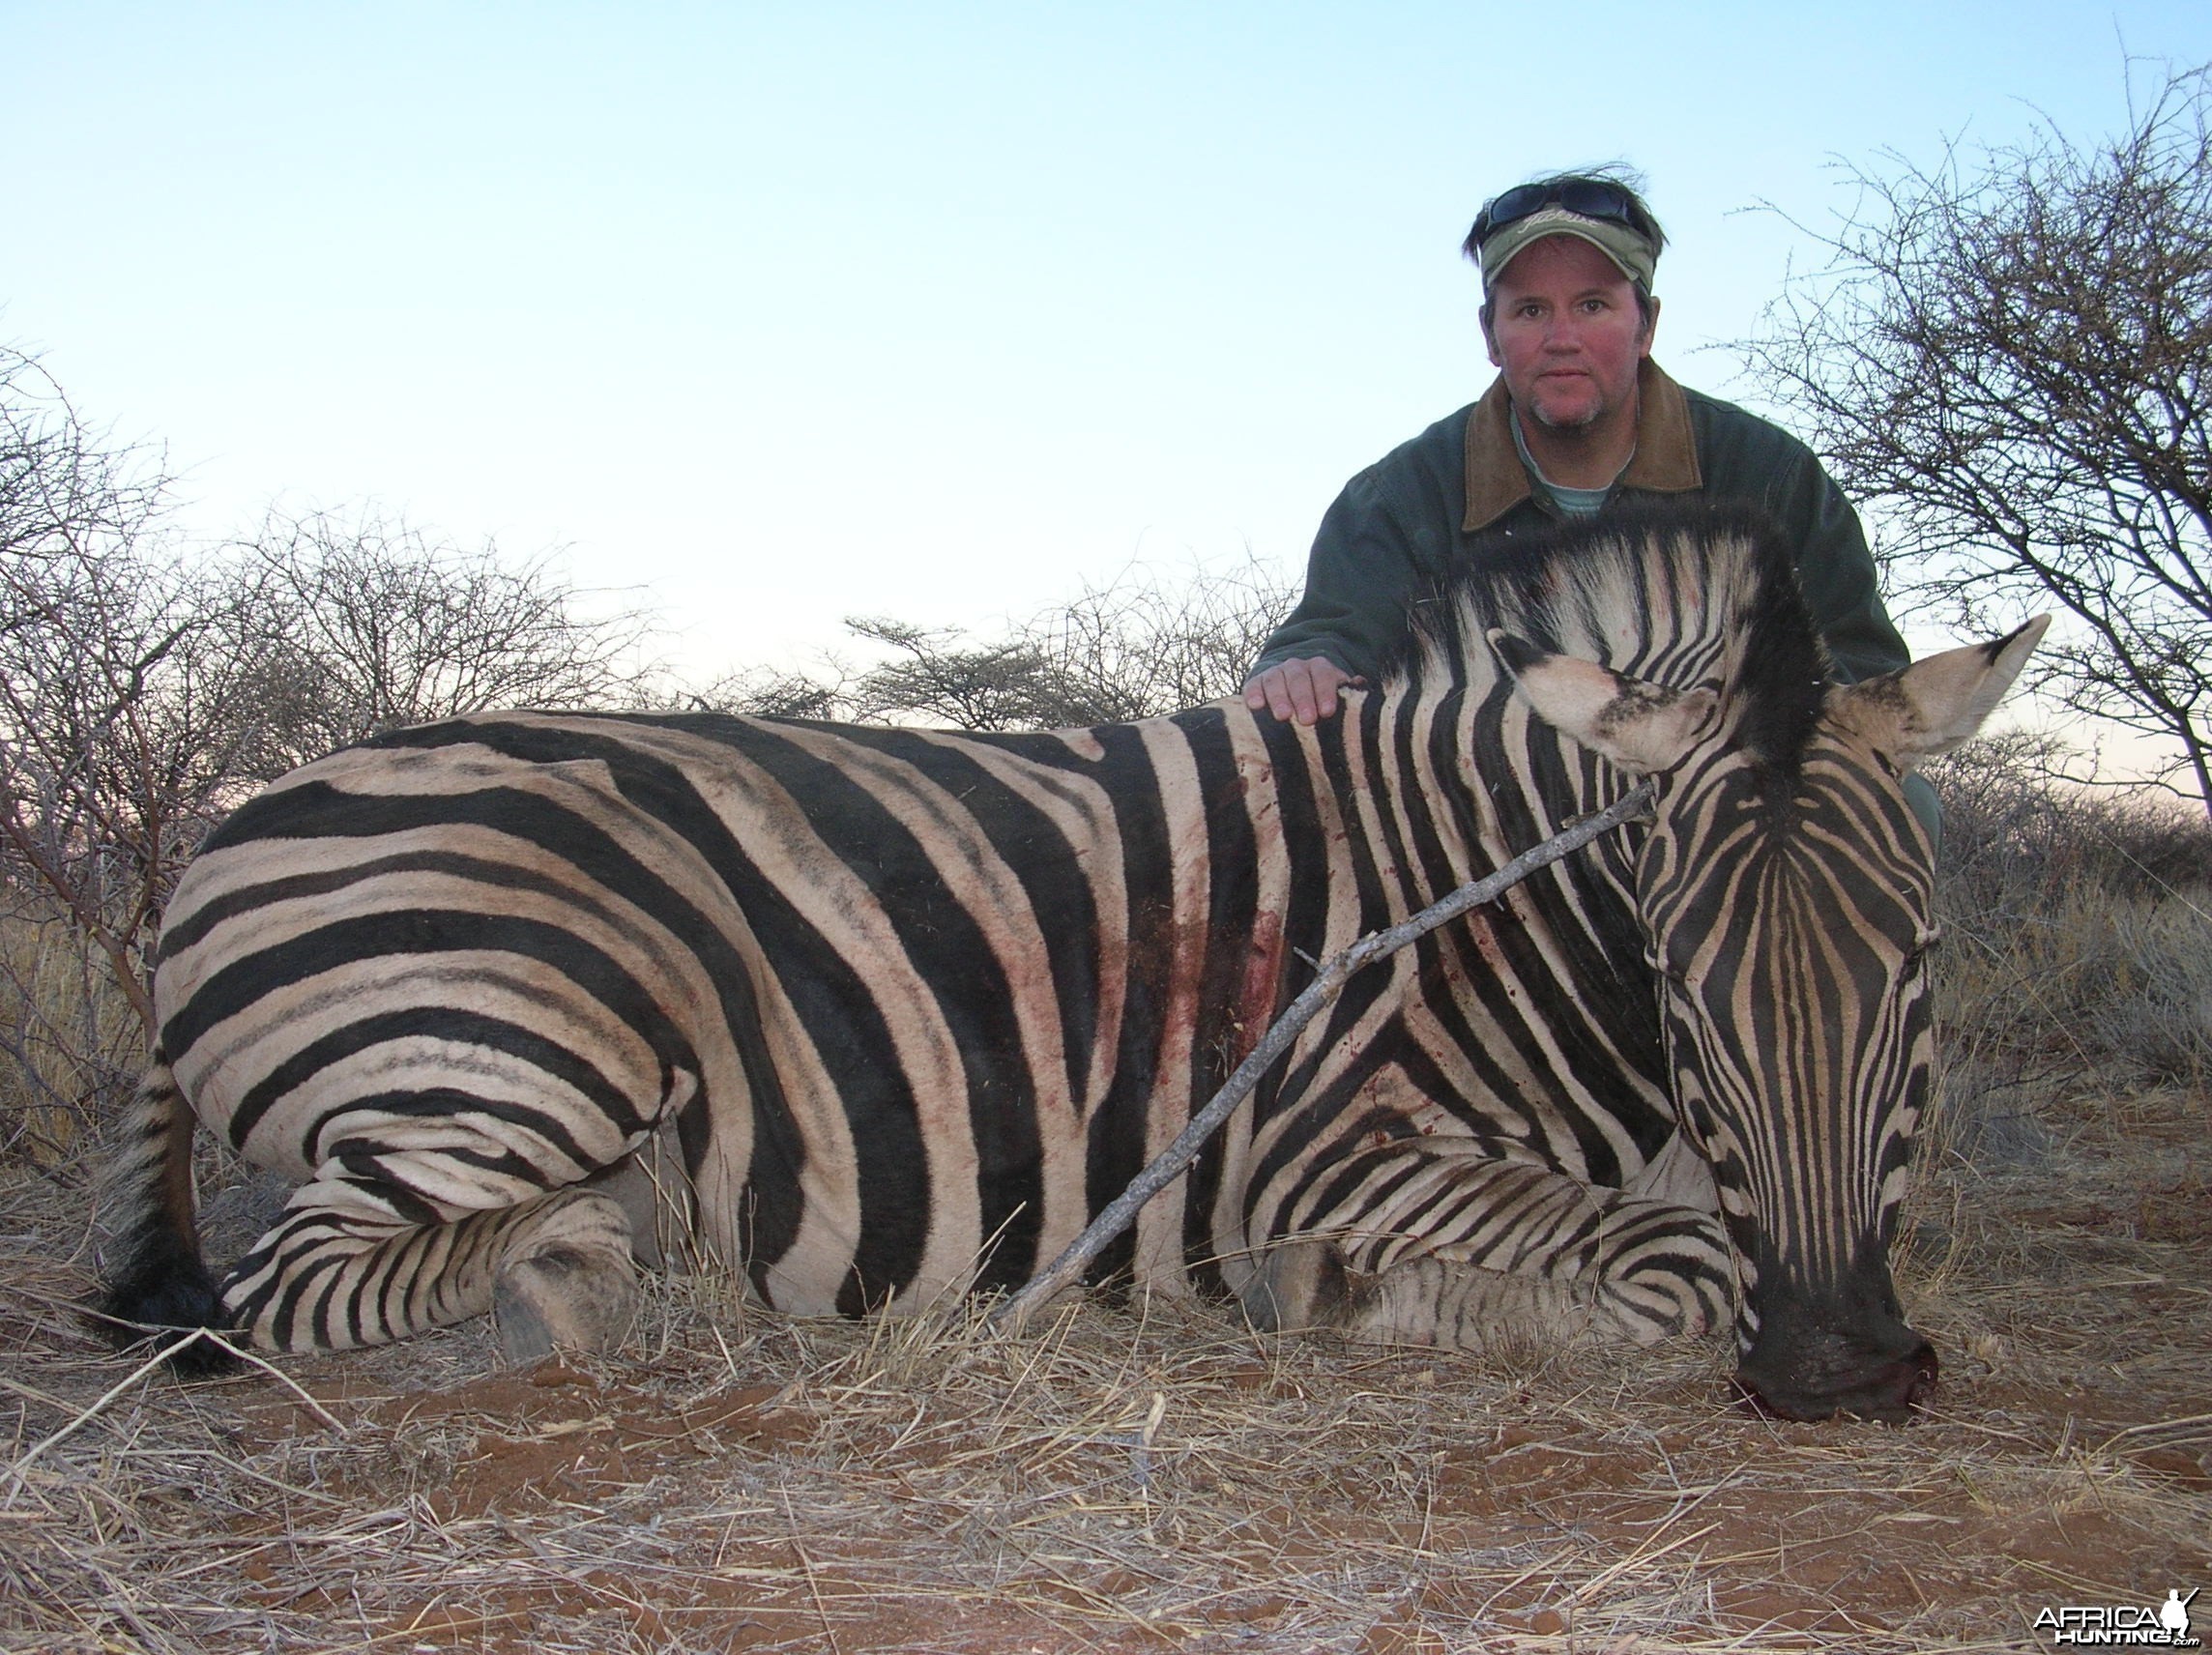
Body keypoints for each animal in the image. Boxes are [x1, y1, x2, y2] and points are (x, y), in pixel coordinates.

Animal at [99, 504, 2034, 1424]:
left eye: (1920, 969)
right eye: (1683, 978)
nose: (1841, 1372)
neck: (1491, 900)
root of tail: (216, 838)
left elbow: (1693, 1231)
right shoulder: (1311, 1147)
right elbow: (1673, 1263)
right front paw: (1352, 1297)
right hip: (538, 1038)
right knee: (299, 1281)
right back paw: (581, 1263)